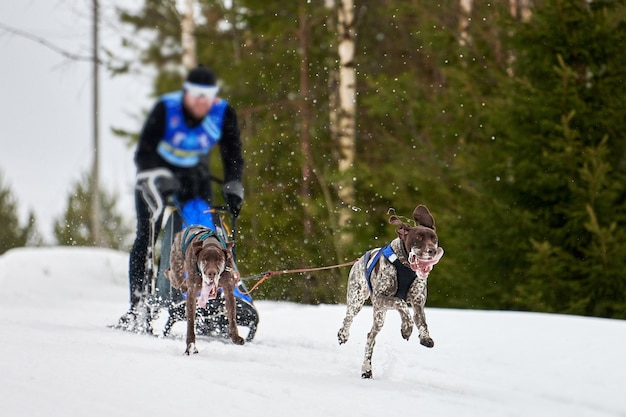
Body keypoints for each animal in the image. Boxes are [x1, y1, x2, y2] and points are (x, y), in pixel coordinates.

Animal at [336, 205, 444, 376]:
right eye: (418, 237)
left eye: (433, 238)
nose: (432, 250)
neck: (406, 265)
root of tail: (358, 260)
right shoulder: (381, 297)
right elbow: (401, 303)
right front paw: (407, 328)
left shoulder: (418, 303)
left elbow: (422, 321)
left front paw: (425, 337)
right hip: (357, 300)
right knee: (348, 318)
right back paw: (343, 335)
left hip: (379, 314)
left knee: (370, 337)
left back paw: (367, 369)